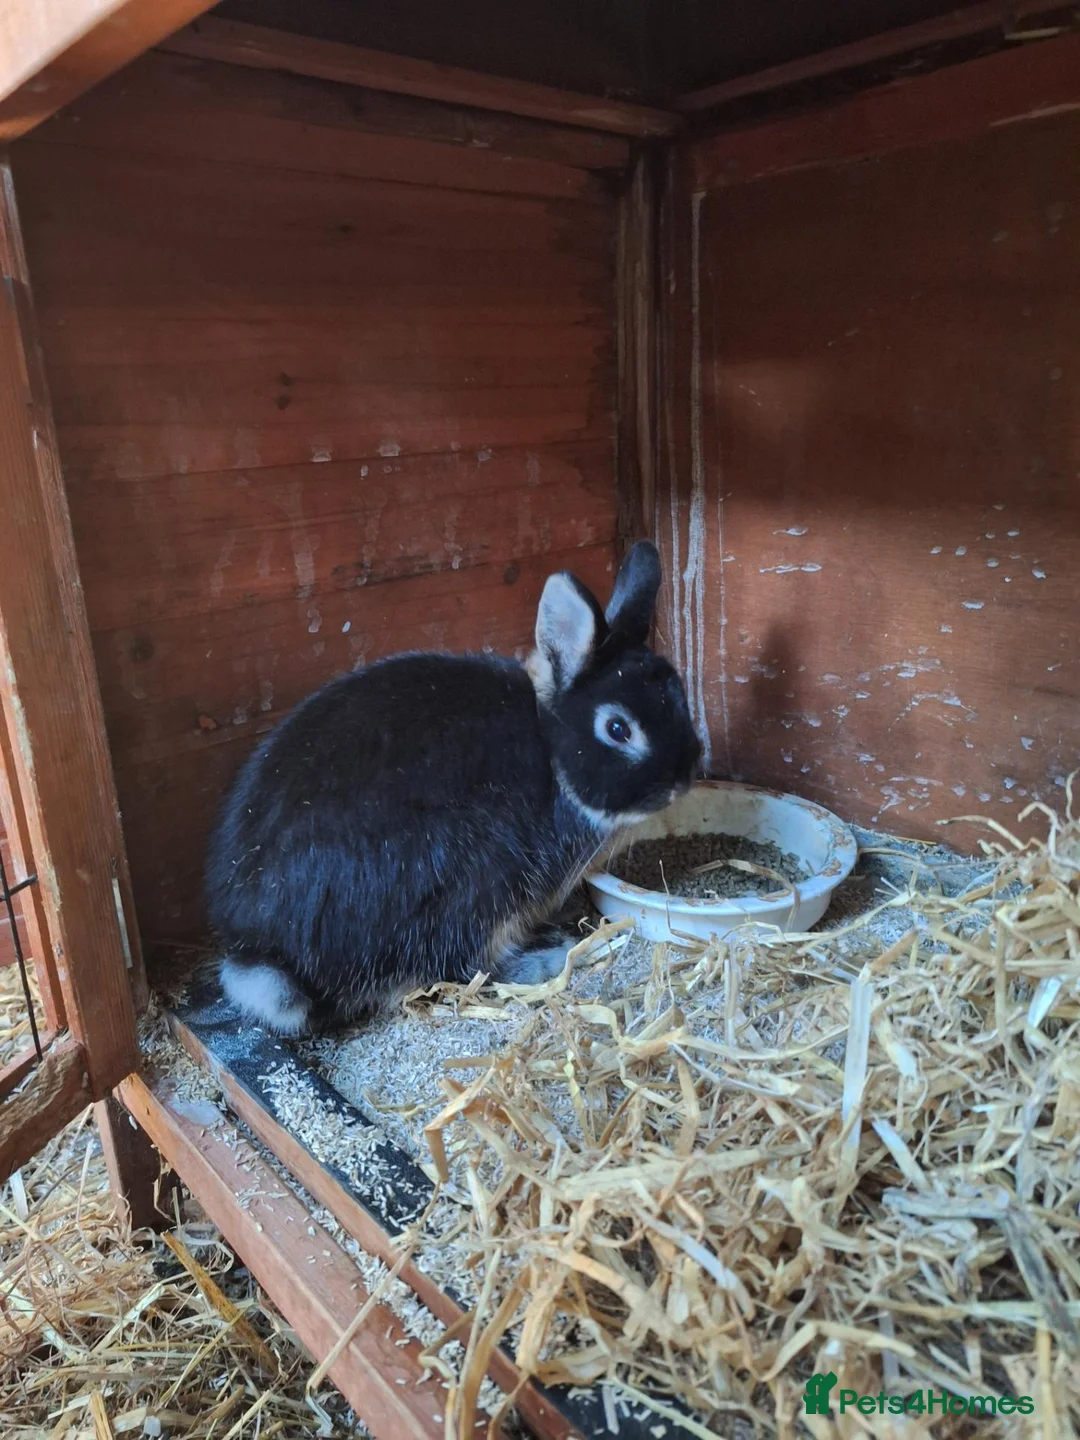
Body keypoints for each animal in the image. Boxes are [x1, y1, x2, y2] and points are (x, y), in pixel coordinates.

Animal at [206, 540, 702, 1034]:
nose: (682, 778)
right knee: (464, 965)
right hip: (472, 878)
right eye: (618, 729)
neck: (550, 751)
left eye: (680, 694)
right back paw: (548, 957)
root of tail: (263, 955)